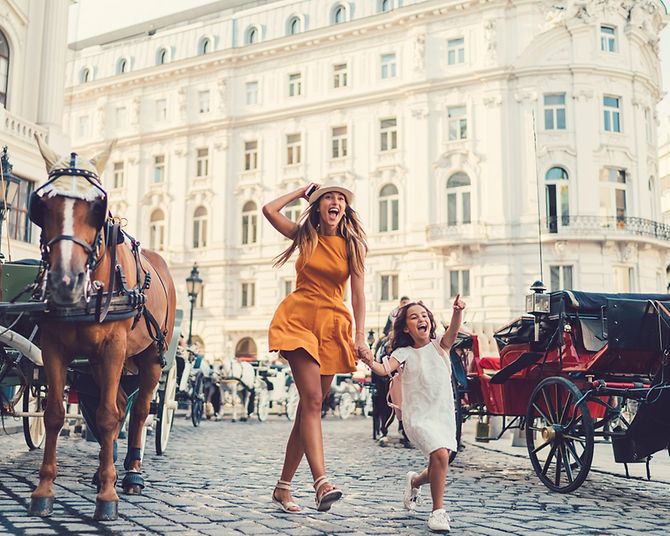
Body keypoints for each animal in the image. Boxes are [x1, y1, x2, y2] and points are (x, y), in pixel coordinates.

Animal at [28, 136, 177, 520]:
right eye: (41, 205)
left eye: (98, 207)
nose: (65, 282)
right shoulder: (53, 347)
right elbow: (54, 414)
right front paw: (44, 490)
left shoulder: (113, 348)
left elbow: (110, 417)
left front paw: (108, 497)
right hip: (96, 364)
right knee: (119, 403)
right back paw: (102, 470)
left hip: (150, 358)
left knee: (138, 411)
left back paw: (132, 473)